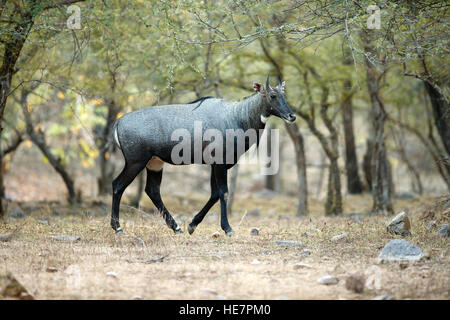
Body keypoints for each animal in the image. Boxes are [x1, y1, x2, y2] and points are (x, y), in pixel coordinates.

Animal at [111, 75, 296, 235]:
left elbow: (214, 194)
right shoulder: (220, 163)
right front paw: (228, 229)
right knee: (118, 185)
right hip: (135, 162)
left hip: (154, 163)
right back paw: (118, 228)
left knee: (153, 190)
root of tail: (119, 121)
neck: (236, 116)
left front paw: (192, 225)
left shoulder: (216, 164)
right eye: (272, 95)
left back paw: (177, 228)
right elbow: (224, 192)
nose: (292, 116)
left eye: (284, 94)